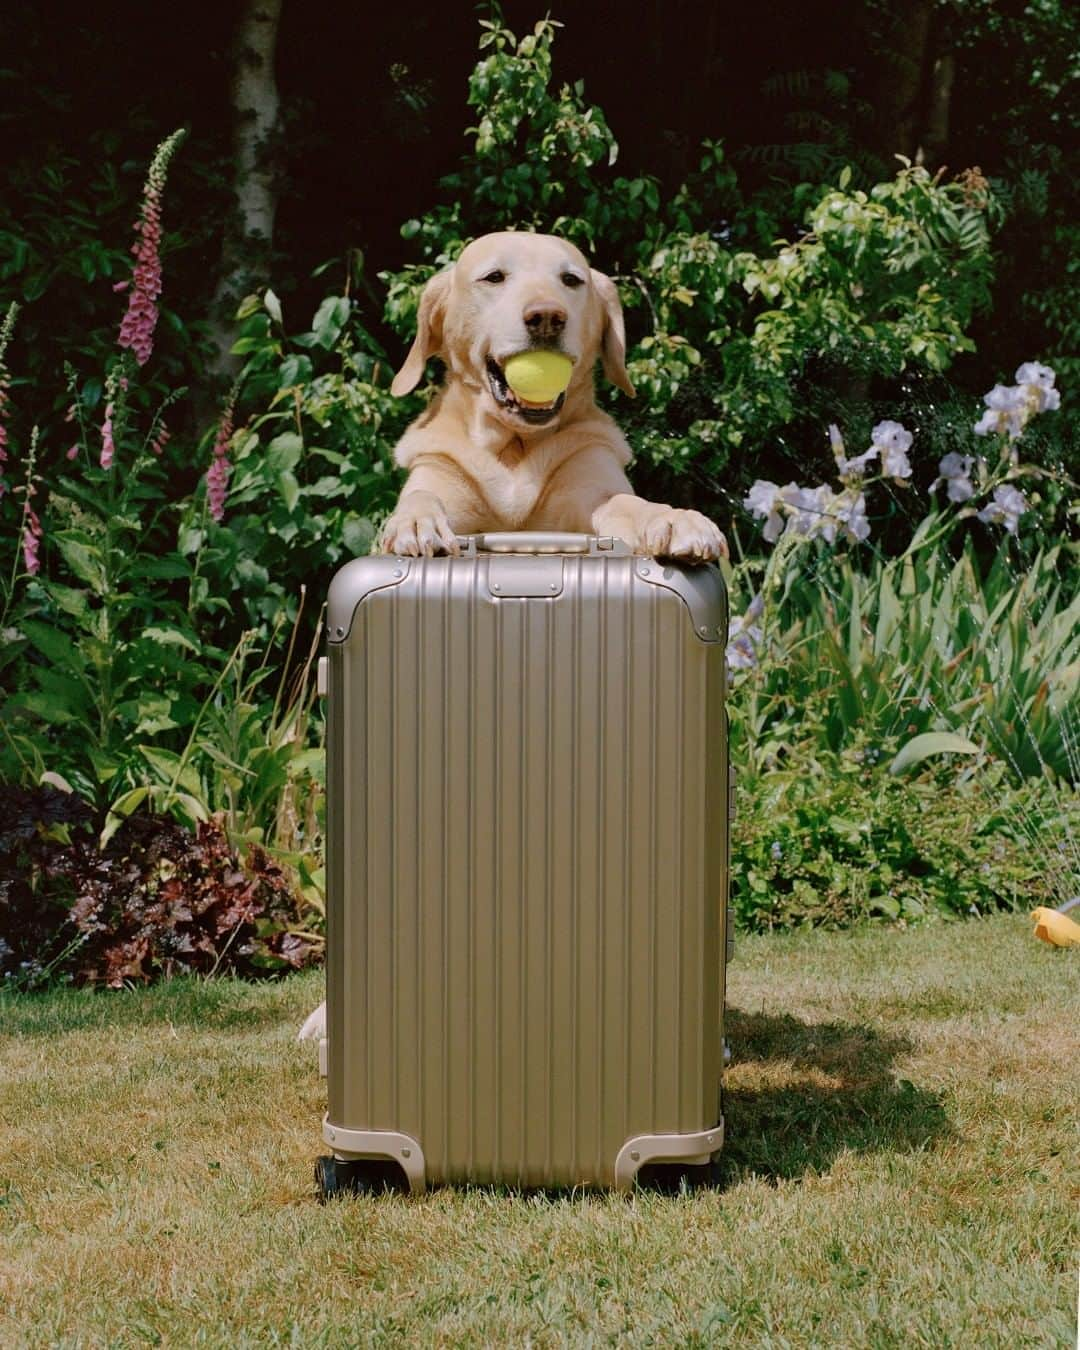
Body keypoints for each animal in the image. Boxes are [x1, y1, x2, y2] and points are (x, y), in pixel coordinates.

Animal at [297, 229, 723, 1042]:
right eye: (493, 277)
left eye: (571, 280)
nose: (546, 317)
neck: (515, 454)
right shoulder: (438, 480)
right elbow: (423, 505)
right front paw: (415, 529)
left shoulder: (595, 493)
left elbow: (632, 507)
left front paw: (676, 521)